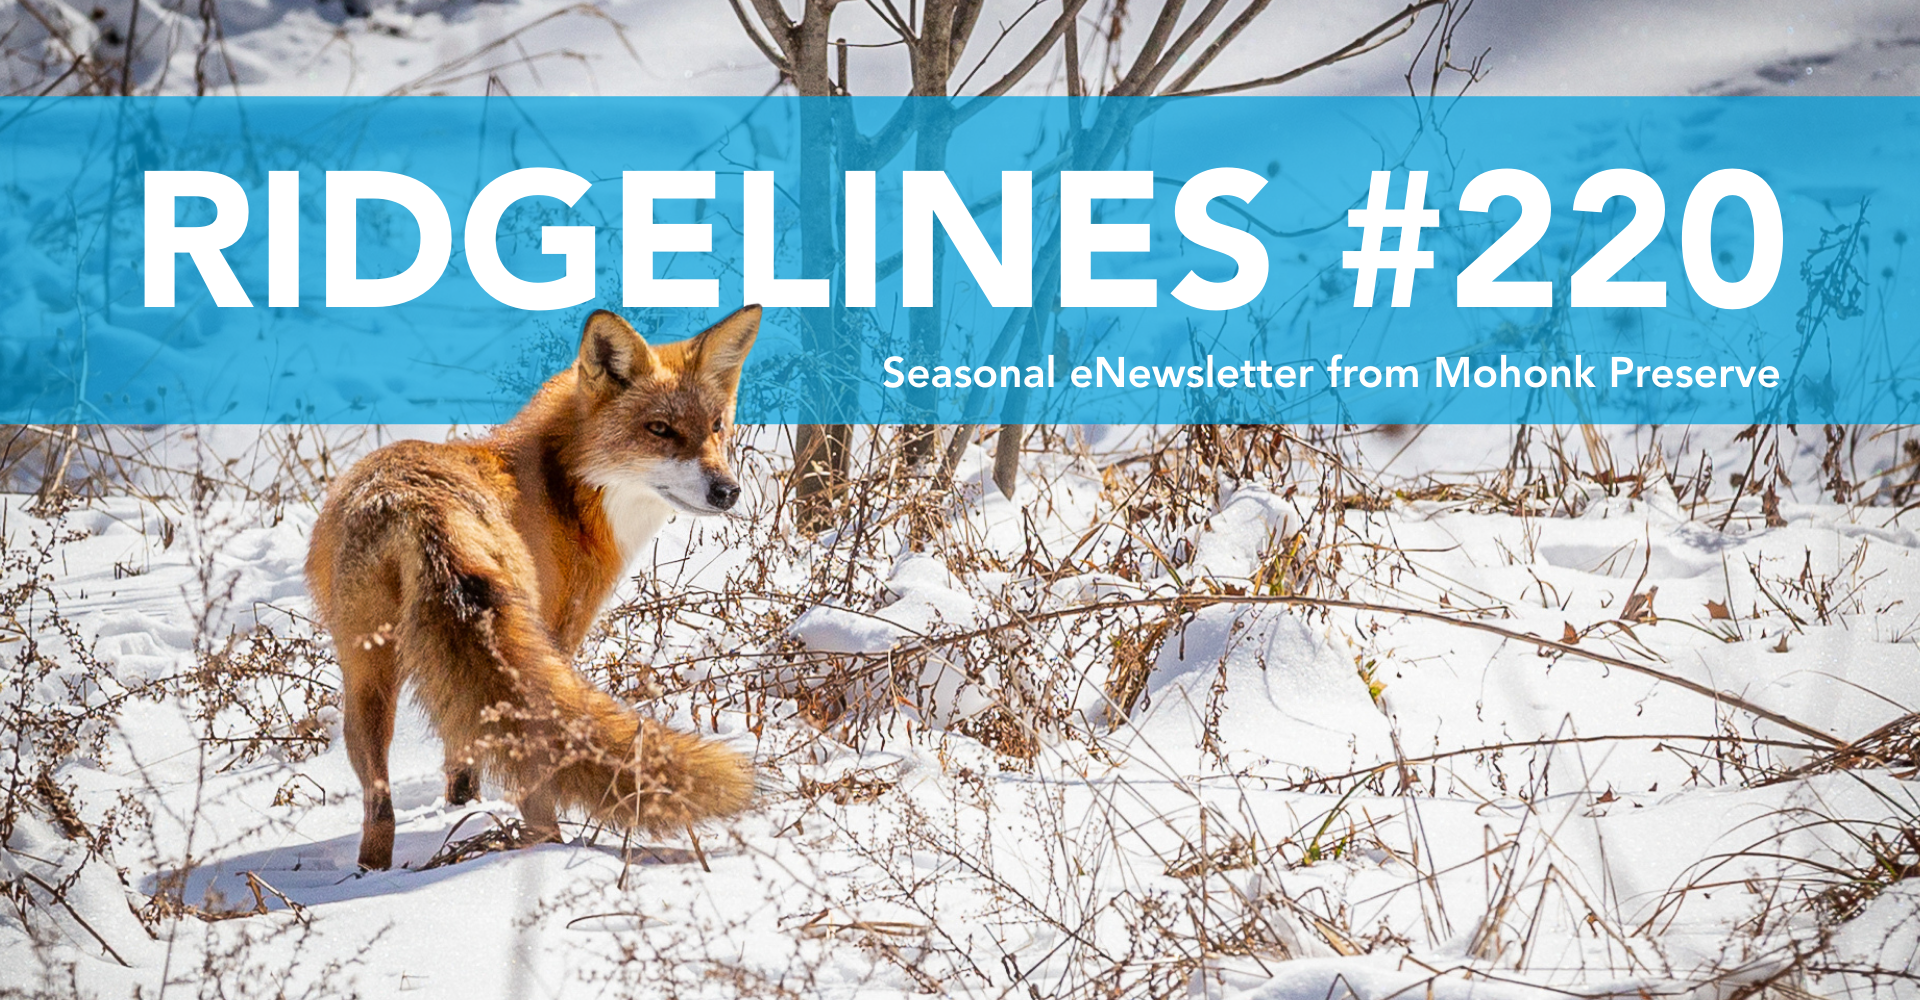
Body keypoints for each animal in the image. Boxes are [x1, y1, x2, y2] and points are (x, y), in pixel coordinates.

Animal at [305, 306, 761, 871]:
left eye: (717, 426)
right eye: (659, 429)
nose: (727, 491)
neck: (563, 484)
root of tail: (419, 508)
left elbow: (462, 743)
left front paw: (462, 803)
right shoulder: (559, 633)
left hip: (365, 673)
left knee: (379, 799)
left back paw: (373, 872)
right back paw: (545, 848)